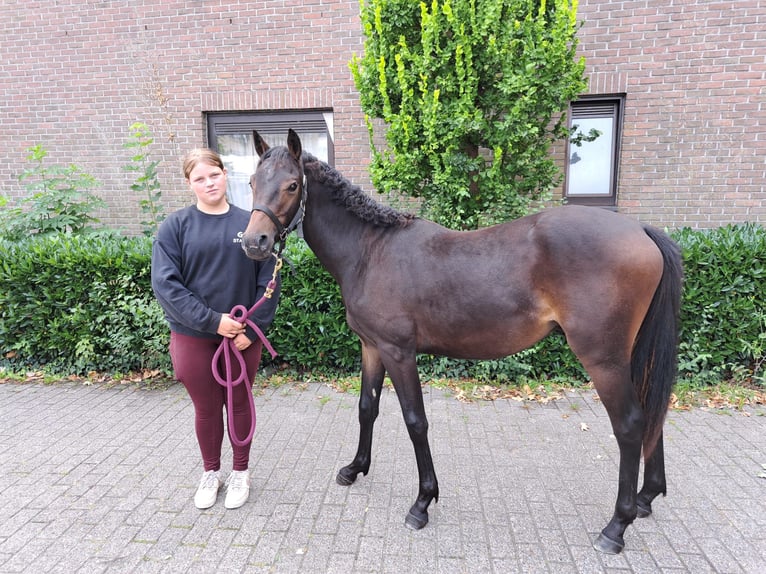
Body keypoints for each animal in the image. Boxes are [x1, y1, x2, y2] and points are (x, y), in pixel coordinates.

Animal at [241, 129, 683, 555]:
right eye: (251, 182)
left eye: (293, 185)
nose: (254, 242)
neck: (371, 251)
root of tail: (640, 229)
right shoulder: (372, 348)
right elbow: (368, 408)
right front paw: (355, 469)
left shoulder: (399, 353)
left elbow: (415, 421)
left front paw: (422, 502)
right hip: (632, 354)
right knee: (652, 412)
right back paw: (646, 498)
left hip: (604, 360)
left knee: (630, 424)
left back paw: (617, 525)